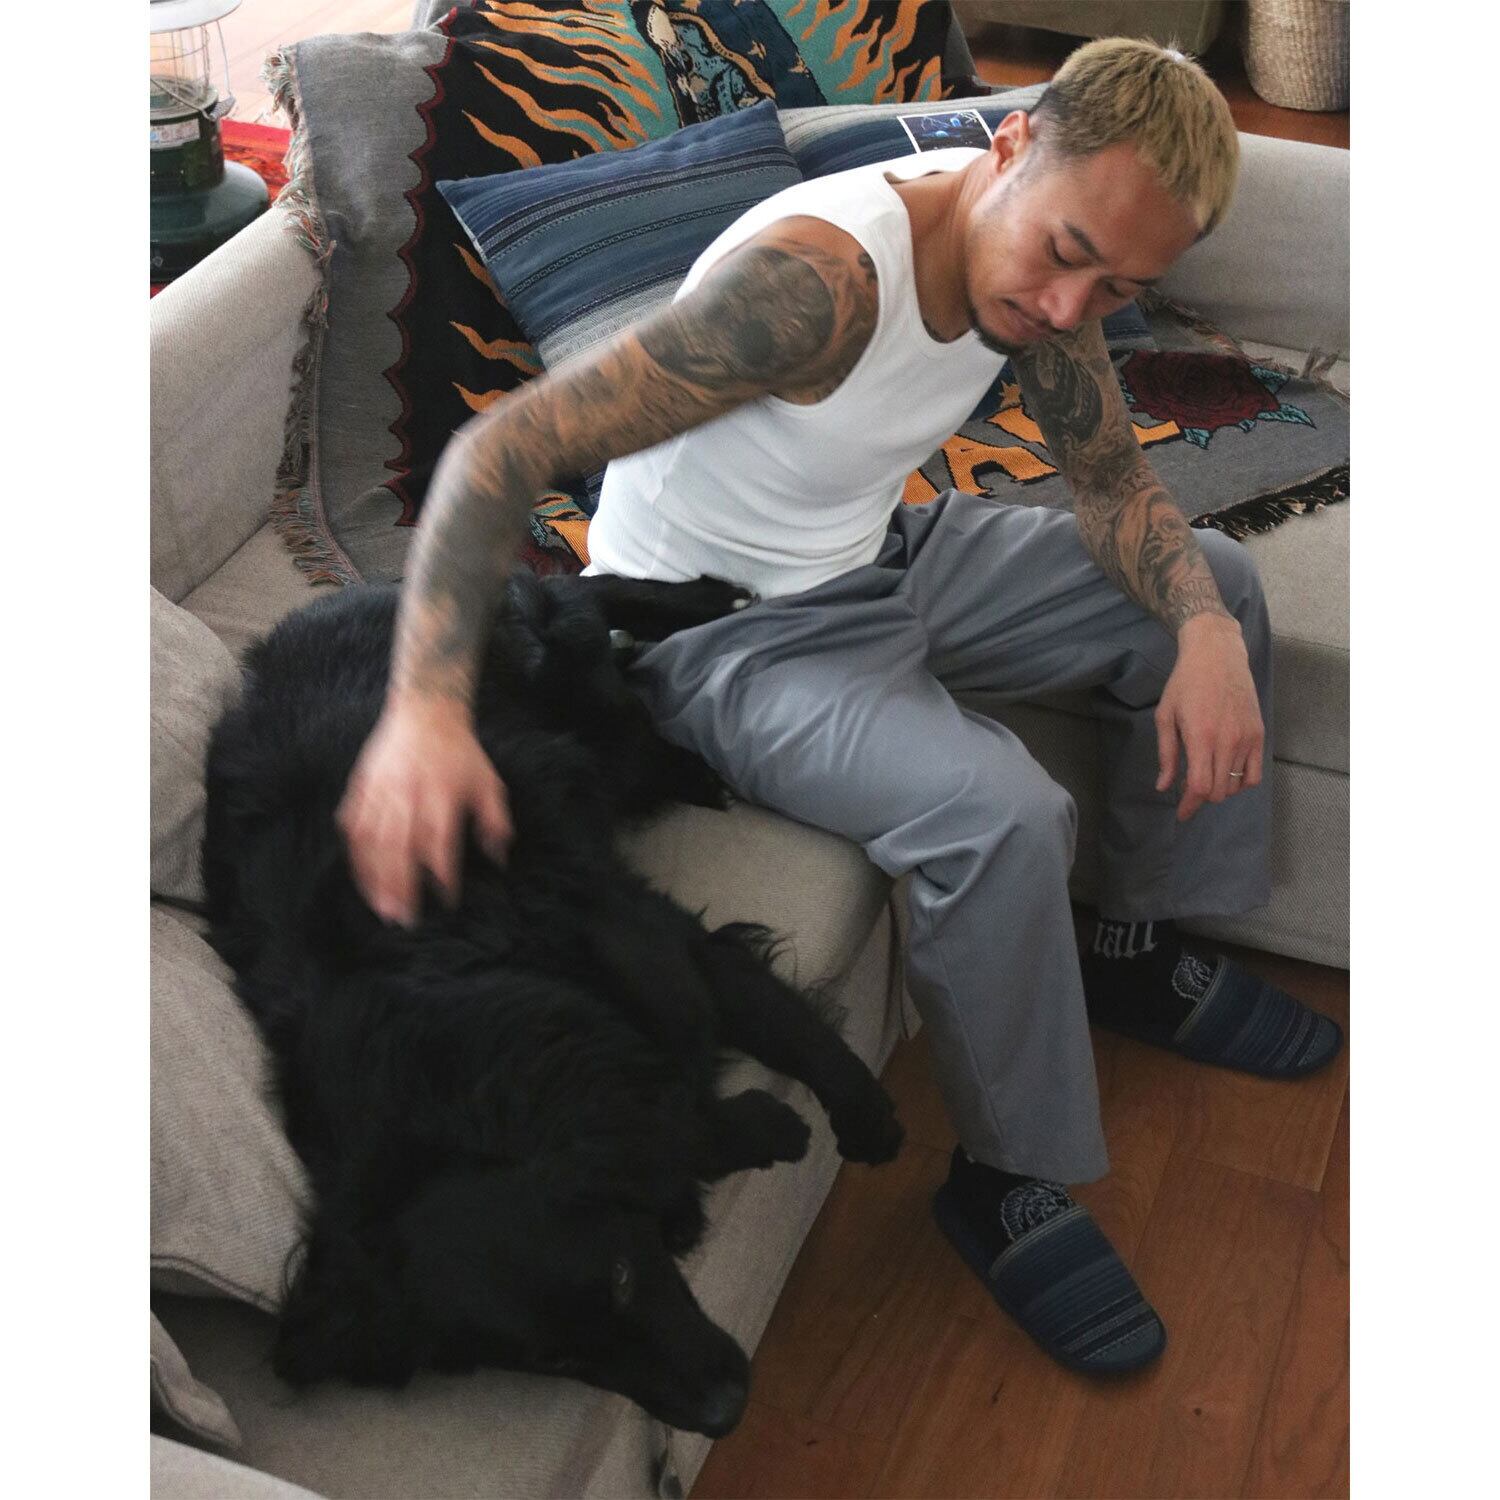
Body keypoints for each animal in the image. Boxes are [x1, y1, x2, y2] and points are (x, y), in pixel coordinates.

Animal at [201, 572, 903, 1438]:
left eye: (626, 1279)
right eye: (559, 1362)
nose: (724, 1415)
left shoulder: (644, 937)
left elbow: (784, 1029)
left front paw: (861, 1118)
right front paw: (750, 1131)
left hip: (567, 677)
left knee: (590, 596)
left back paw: (714, 605)